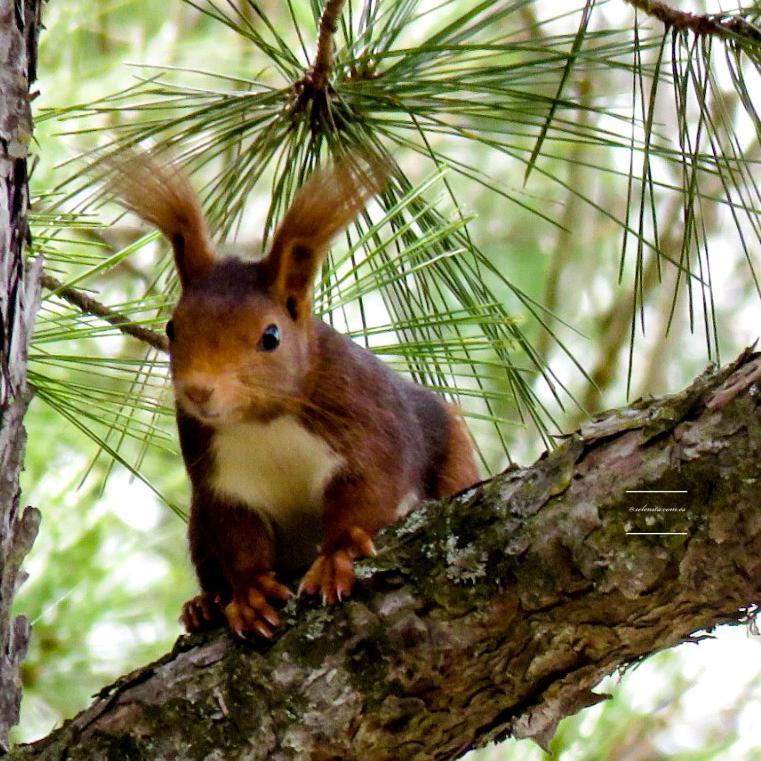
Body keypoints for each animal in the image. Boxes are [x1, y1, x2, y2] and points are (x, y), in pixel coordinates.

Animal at [107, 153, 478, 636]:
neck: (264, 421)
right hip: (196, 524)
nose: (199, 390)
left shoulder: (370, 422)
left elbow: (367, 491)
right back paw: (204, 605)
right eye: (172, 328)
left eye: (271, 336)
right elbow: (237, 536)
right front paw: (249, 593)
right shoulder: (220, 480)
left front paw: (337, 556)